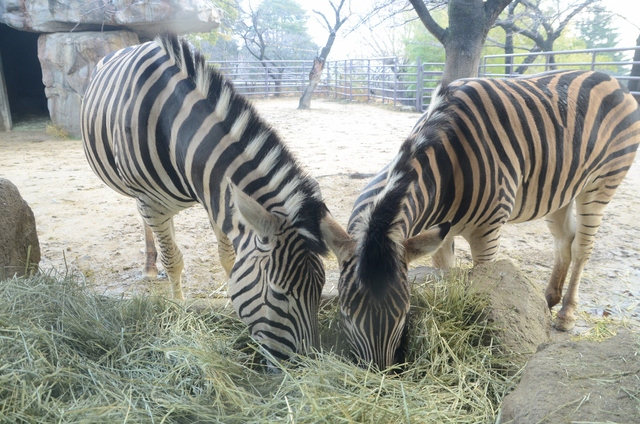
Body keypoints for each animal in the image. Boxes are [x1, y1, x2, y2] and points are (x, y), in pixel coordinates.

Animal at [83, 34, 348, 362]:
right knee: (151, 230)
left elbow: (227, 257)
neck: (176, 131)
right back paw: (151, 267)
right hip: (142, 197)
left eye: (321, 287)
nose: (303, 363)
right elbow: (174, 261)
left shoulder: (217, 197)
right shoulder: (152, 202)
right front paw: (179, 311)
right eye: (278, 292)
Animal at [322, 71, 640, 370]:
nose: (379, 373)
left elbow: (487, 288)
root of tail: (611, 78)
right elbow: (445, 274)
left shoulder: (486, 234)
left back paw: (566, 314)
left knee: (582, 247)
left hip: (601, 183)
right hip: (560, 190)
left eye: (404, 314)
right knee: (564, 240)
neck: (444, 162)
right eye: (345, 314)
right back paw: (548, 300)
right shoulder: (439, 234)